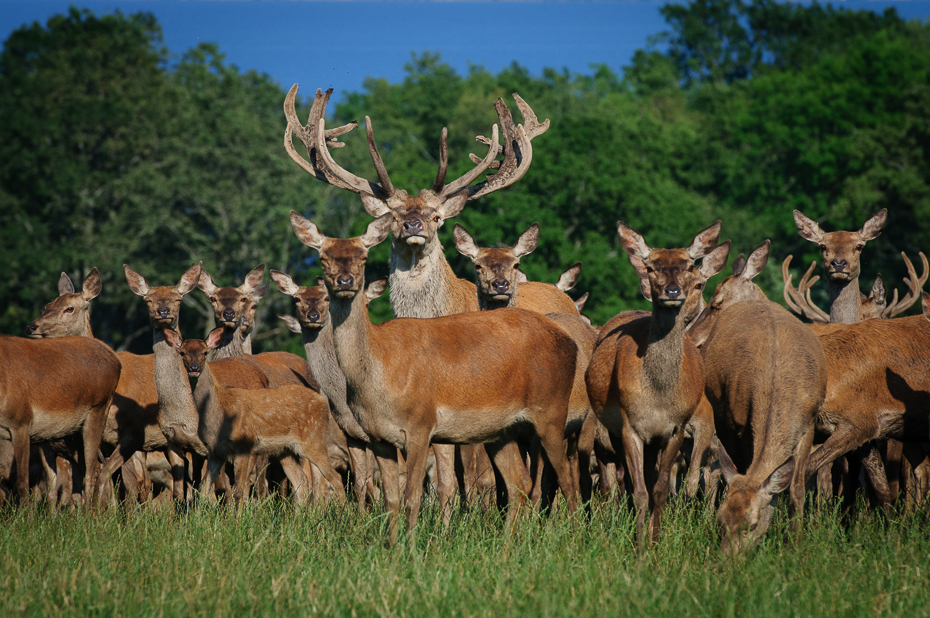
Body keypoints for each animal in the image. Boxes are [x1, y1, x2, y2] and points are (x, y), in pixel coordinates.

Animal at [292, 212, 580, 540]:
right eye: (323, 257)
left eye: (363, 257)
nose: (344, 281)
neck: (379, 373)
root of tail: (569, 342)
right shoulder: (378, 437)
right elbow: (390, 500)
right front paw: (391, 546)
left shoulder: (421, 424)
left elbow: (412, 497)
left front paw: (413, 546)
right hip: (502, 430)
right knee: (519, 482)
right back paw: (508, 544)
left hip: (552, 410)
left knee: (566, 479)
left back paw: (572, 538)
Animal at [588, 220, 716, 544]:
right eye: (650, 267)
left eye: (689, 265)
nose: (672, 291)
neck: (658, 397)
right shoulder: (629, 426)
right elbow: (639, 492)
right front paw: (638, 545)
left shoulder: (675, 428)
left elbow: (659, 490)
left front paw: (655, 541)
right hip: (611, 429)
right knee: (623, 480)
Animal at [684, 239, 824, 548]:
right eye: (722, 521)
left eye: (716, 302)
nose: (690, 336)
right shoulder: (734, 422)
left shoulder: (809, 423)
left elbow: (796, 487)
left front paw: (796, 541)